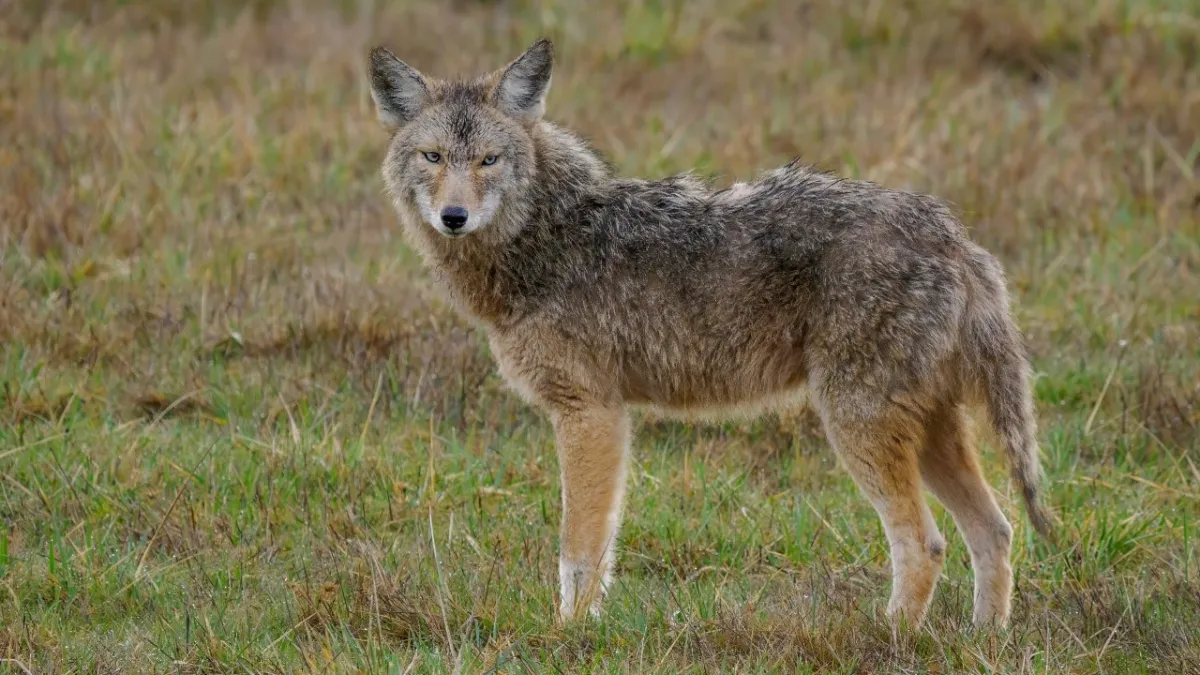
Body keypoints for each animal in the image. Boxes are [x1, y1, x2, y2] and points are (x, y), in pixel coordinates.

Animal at [366, 38, 1054, 630]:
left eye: (489, 160)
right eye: (433, 157)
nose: (454, 216)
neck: (545, 236)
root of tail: (953, 237)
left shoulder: (591, 414)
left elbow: (579, 552)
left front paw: (569, 637)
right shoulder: (600, 416)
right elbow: (593, 549)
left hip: (857, 427)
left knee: (925, 542)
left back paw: (892, 640)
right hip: (927, 431)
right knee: (995, 530)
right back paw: (983, 639)